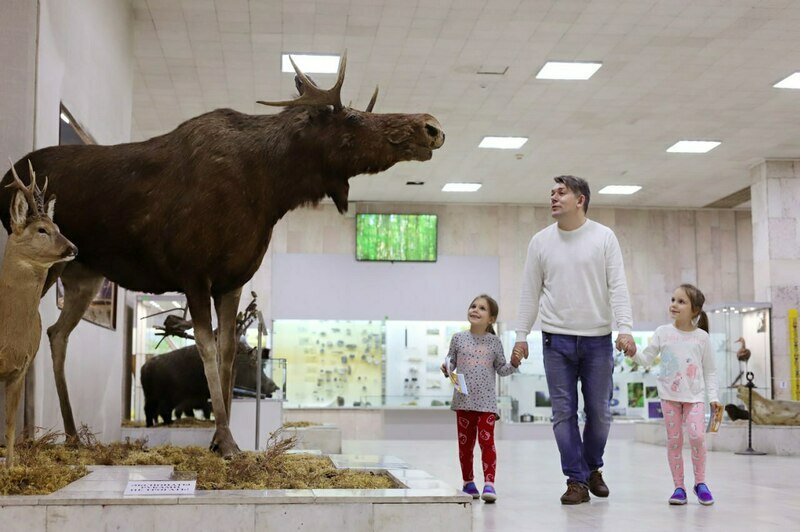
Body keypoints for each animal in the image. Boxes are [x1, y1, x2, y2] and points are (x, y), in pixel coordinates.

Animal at [0, 162, 77, 466]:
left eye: (58, 227)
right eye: (42, 229)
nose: (73, 248)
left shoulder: (20, 367)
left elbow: (10, 424)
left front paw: (11, 468)